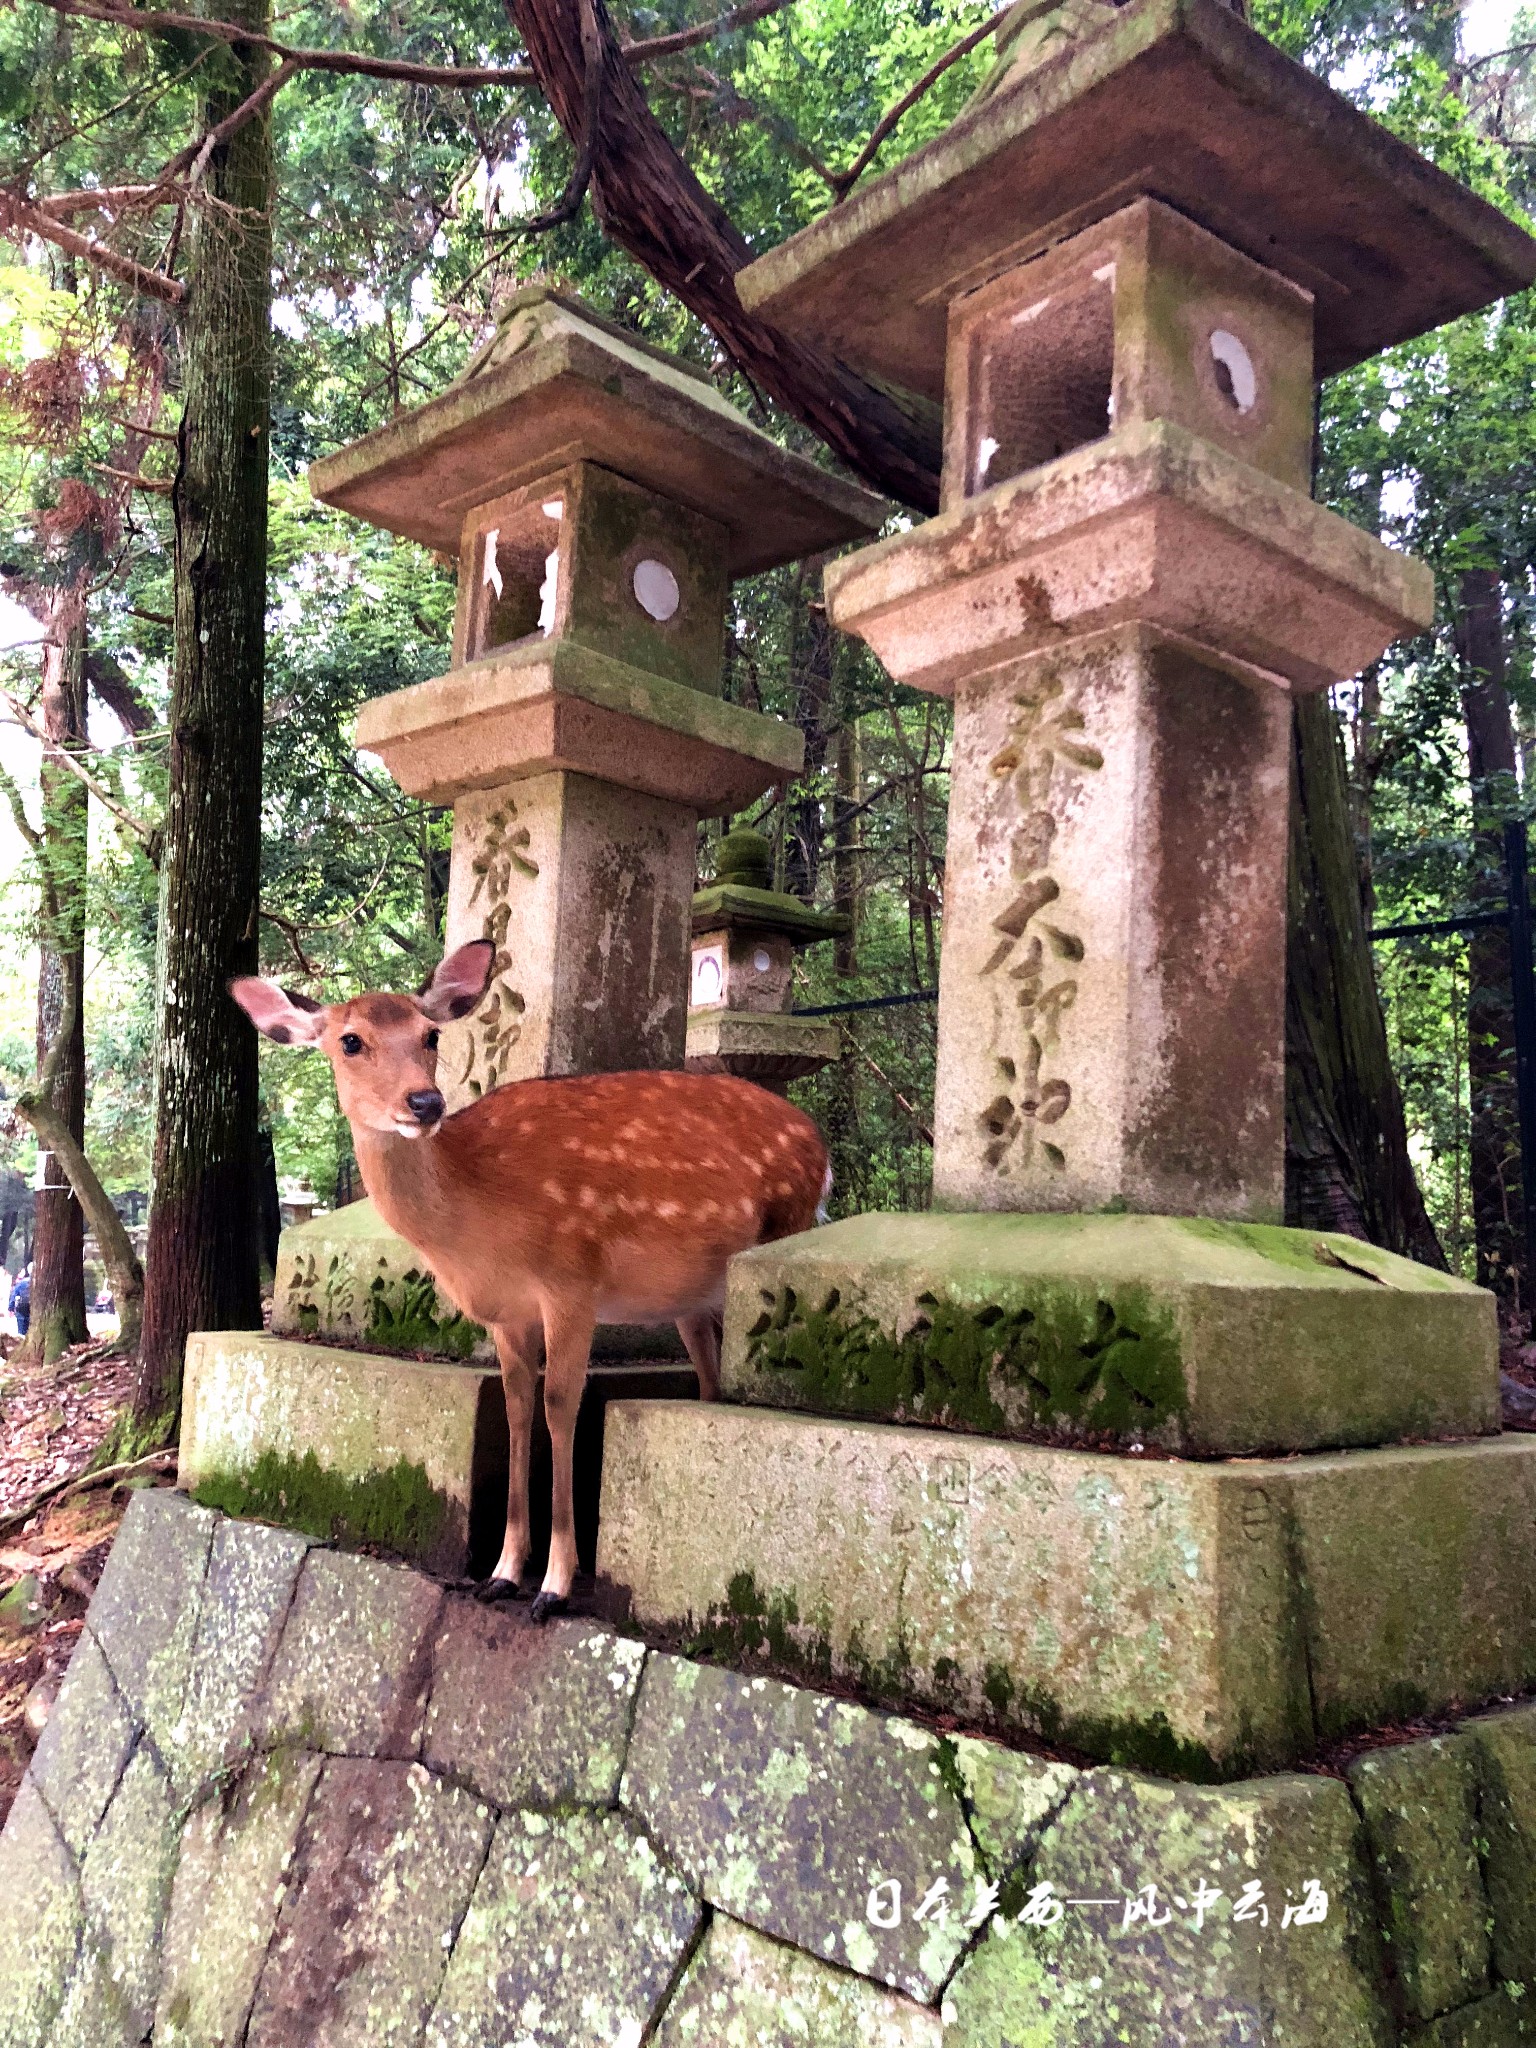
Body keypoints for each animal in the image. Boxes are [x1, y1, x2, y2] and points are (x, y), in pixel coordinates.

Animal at [231, 942, 831, 1613]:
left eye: (431, 1034)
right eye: (350, 1041)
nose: (424, 1103)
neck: (477, 1223)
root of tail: (822, 1147)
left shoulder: (572, 1279)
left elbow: (559, 1405)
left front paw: (556, 1583)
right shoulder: (506, 1311)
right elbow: (517, 1409)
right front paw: (502, 1571)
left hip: (779, 1237)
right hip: (692, 1297)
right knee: (708, 1377)